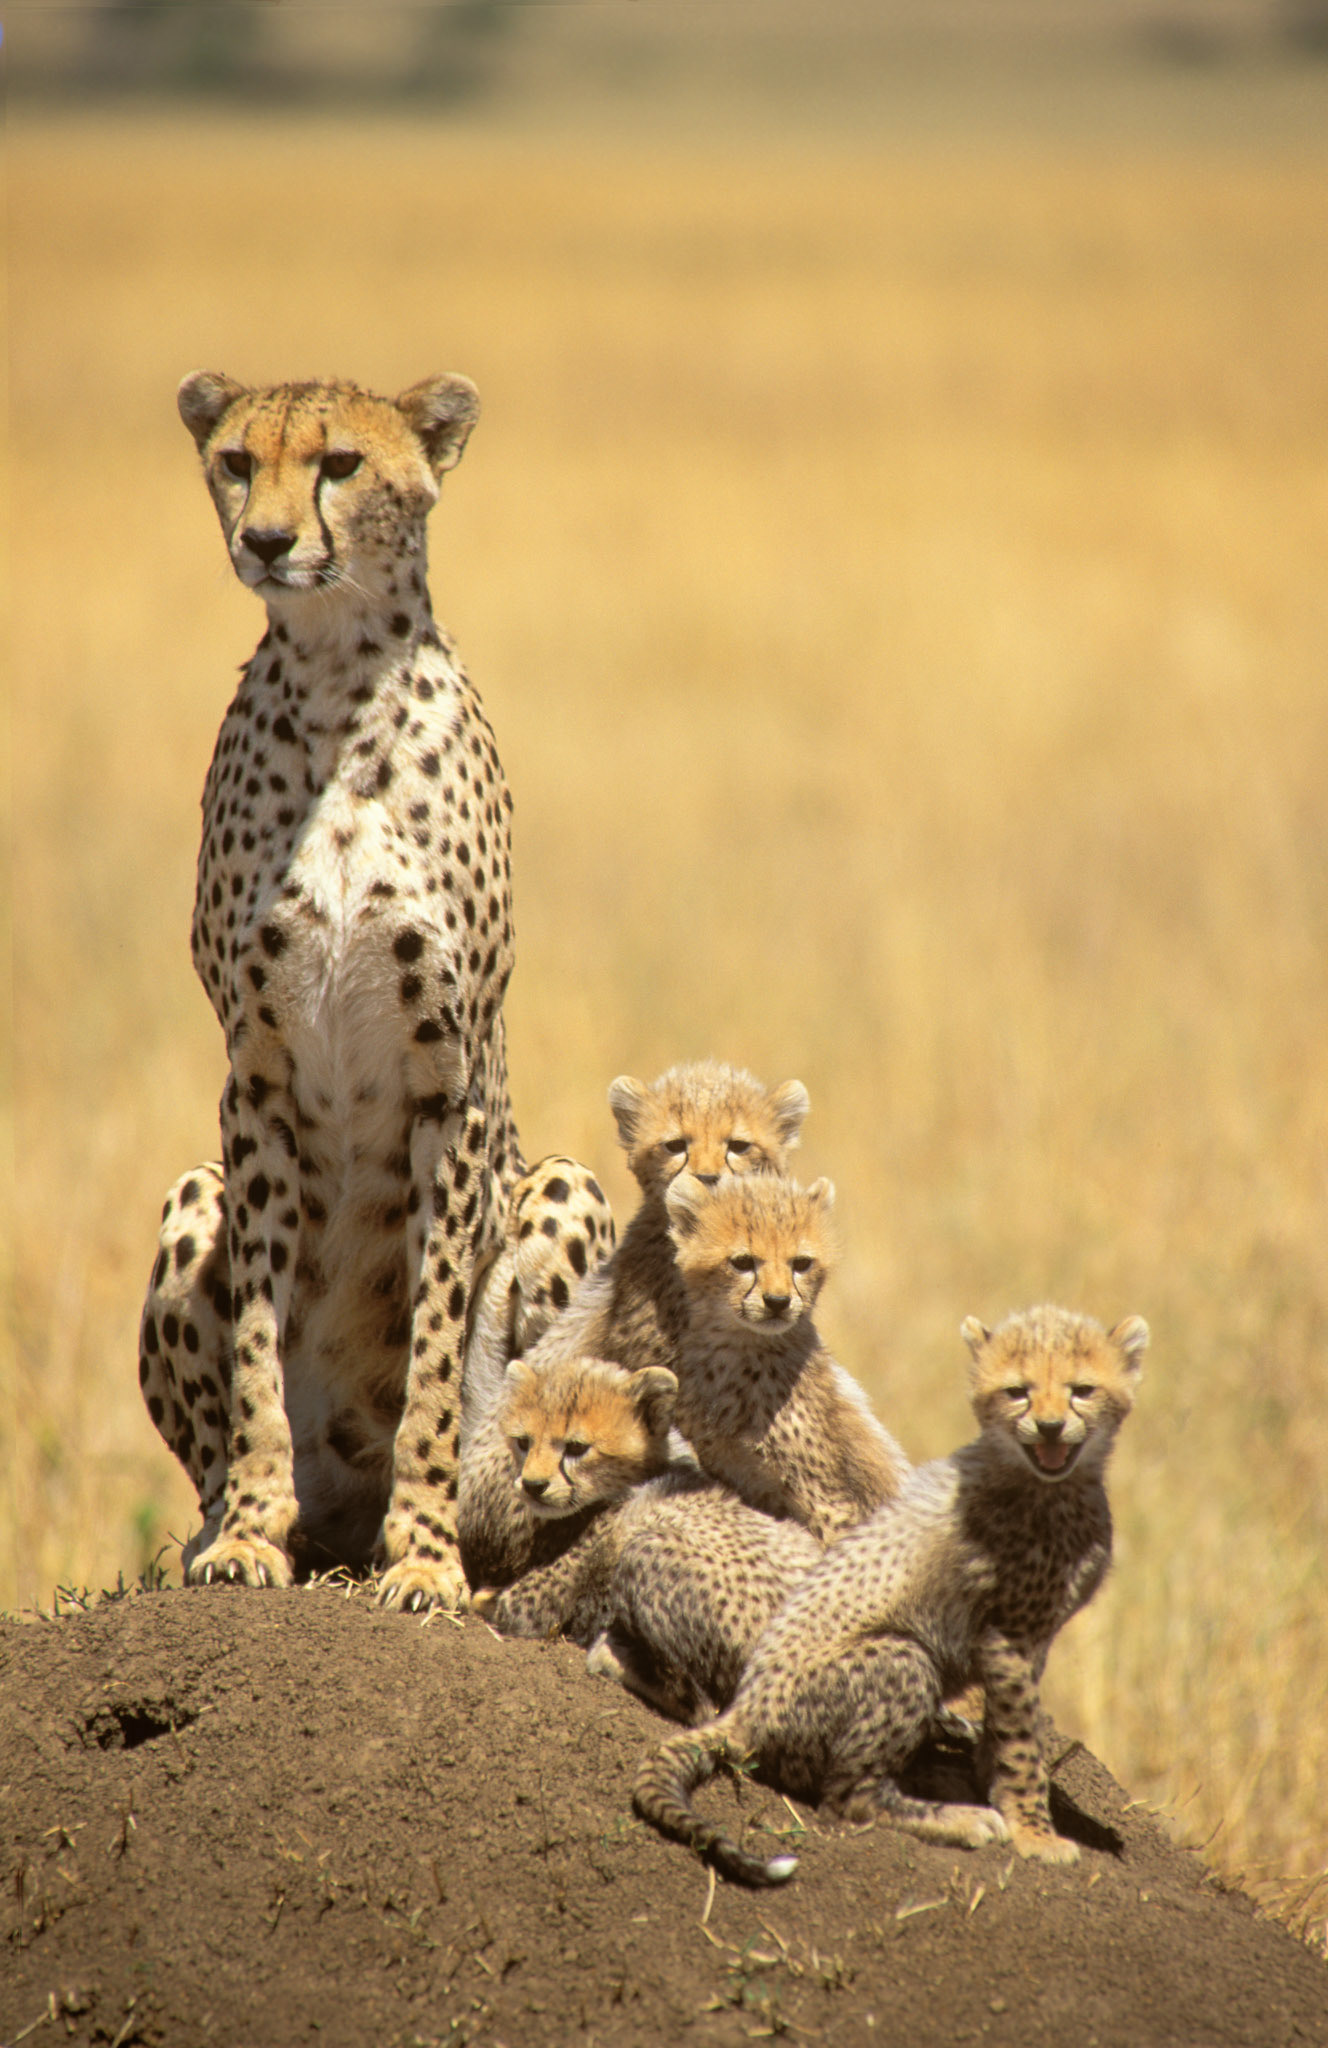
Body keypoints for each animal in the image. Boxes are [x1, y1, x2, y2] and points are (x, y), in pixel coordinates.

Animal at [137, 369, 613, 1610]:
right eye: (237, 461)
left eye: (340, 463)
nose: (265, 540)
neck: (334, 681)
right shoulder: (252, 1074)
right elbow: (256, 1344)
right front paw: (250, 1535)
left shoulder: (449, 1077)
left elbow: (438, 1354)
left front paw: (429, 1558)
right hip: (192, 1190)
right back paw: (238, 1531)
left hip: (569, 1183)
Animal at [471, 1353, 822, 1725]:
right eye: (523, 1441)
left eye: (577, 1447)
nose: (532, 1485)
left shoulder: (532, 1608)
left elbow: (484, 1600)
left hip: (647, 1550)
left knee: (703, 1708)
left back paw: (609, 1653)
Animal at [633, 1304, 1148, 1885]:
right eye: (1018, 1391)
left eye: (1082, 1390)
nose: (1050, 1426)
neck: (1051, 1483)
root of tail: (746, 1707)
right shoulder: (1008, 1637)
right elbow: (1021, 1743)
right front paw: (1033, 1834)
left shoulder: (1028, 1639)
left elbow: (1004, 1732)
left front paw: (993, 1784)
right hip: (897, 1659)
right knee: (847, 1799)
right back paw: (957, 1819)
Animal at [664, 1172, 911, 1543]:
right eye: (742, 1262)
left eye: (801, 1264)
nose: (778, 1301)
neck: (740, 1354)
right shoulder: (730, 1469)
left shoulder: (830, 1501)